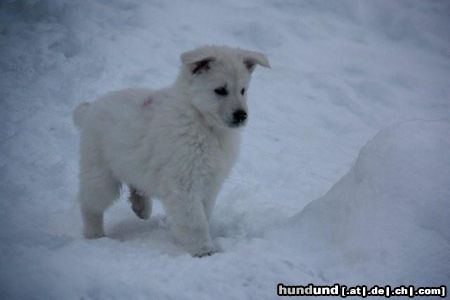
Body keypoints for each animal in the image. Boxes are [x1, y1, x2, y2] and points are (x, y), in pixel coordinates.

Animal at [73, 45, 268, 256]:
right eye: (220, 90)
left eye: (243, 90)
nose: (242, 115)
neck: (202, 121)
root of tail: (90, 109)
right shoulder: (184, 182)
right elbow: (195, 220)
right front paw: (203, 250)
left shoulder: (210, 183)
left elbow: (204, 213)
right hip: (100, 172)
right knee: (90, 203)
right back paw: (95, 234)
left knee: (135, 184)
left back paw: (141, 207)